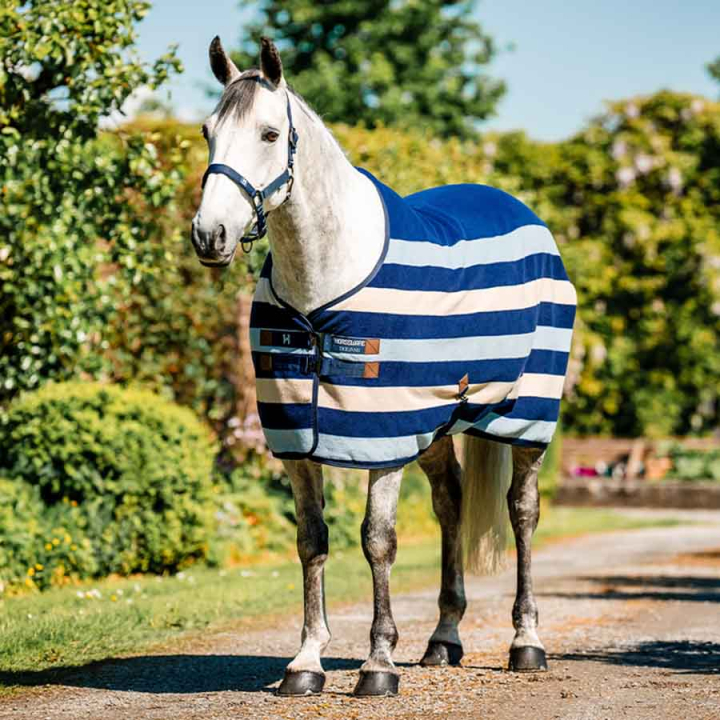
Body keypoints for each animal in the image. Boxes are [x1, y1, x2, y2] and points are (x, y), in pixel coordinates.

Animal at [191, 36, 576, 697]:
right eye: (208, 132)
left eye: (269, 133)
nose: (209, 235)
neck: (322, 291)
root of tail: (522, 210)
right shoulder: (298, 439)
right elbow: (311, 540)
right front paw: (306, 662)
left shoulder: (382, 437)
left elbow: (377, 541)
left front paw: (377, 664)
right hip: (440, 422)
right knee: (450, 502)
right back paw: (443, 640)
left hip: (526, 417)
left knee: (523, 513)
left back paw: (526, 642)